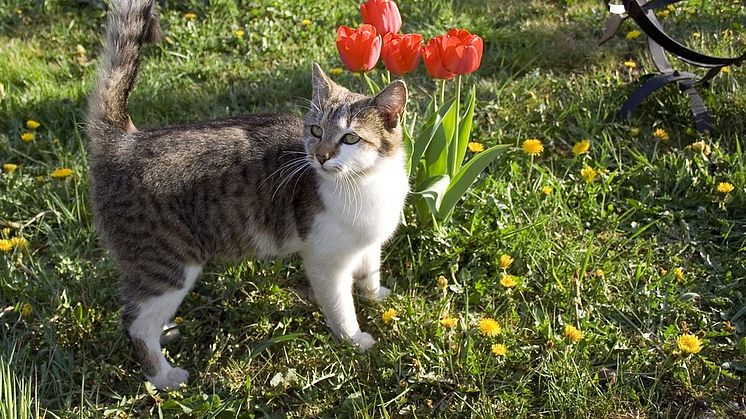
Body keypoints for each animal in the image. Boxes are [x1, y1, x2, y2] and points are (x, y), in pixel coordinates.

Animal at [87, 0, 410, 390]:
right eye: (316, 131)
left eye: (350, 138)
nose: (320, 156)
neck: (365, 184)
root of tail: (127, 141)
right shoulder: (326, 262)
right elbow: (341, 306)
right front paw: (353, 339)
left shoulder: (369, 242)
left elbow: (370, 270)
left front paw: (375, 295)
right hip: (166, 263)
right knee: (135, 322)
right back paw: (164, 376)